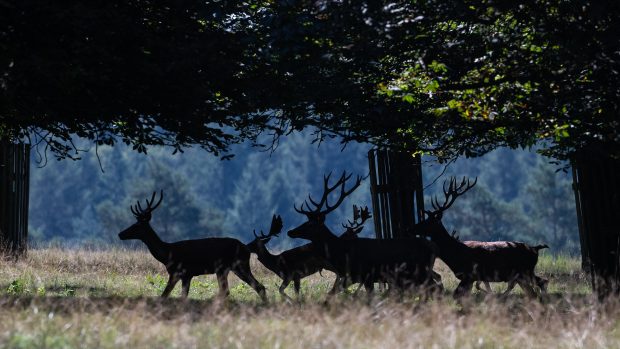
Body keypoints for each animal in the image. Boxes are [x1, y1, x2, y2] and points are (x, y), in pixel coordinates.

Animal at [118, 190, 266, 300]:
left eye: (136, 226)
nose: (120, 234)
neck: (167, 254)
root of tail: (246, 248)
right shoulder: (188, 275)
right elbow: (183, 295)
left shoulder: (178, 272)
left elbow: (165, 294)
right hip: (229, 268)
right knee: (250, 287)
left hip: (236, 265)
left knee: (252, 287)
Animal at [286, 171, 438, 296]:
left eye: (310, 224)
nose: (290, 231)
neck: (340, 253)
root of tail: (433, 248)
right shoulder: (352, 277)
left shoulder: (366, 275)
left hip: (420, 271)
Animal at [410, 178, 548, 298]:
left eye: (429, 221)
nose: (413, 227)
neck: (455, 254)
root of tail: (535, 248)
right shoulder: (471, 277)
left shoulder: (470, 274)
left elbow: (457, 295)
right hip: (523, 273)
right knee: (538, 286)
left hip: (525, 271)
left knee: (541, 283)